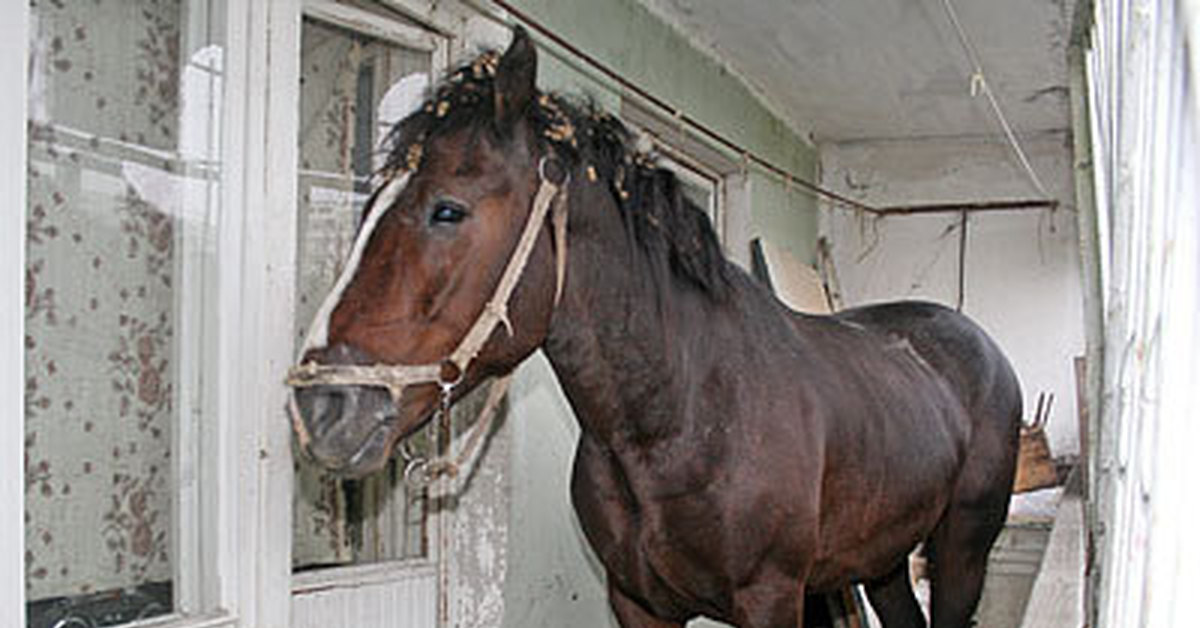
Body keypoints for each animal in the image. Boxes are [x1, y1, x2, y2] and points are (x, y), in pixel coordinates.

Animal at [283, 25, 1022, 628]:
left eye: (447, 210)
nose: (321, 407)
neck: (682, 413)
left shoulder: (771, 599)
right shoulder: (638, 602)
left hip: (961, 552)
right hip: (884, 559)